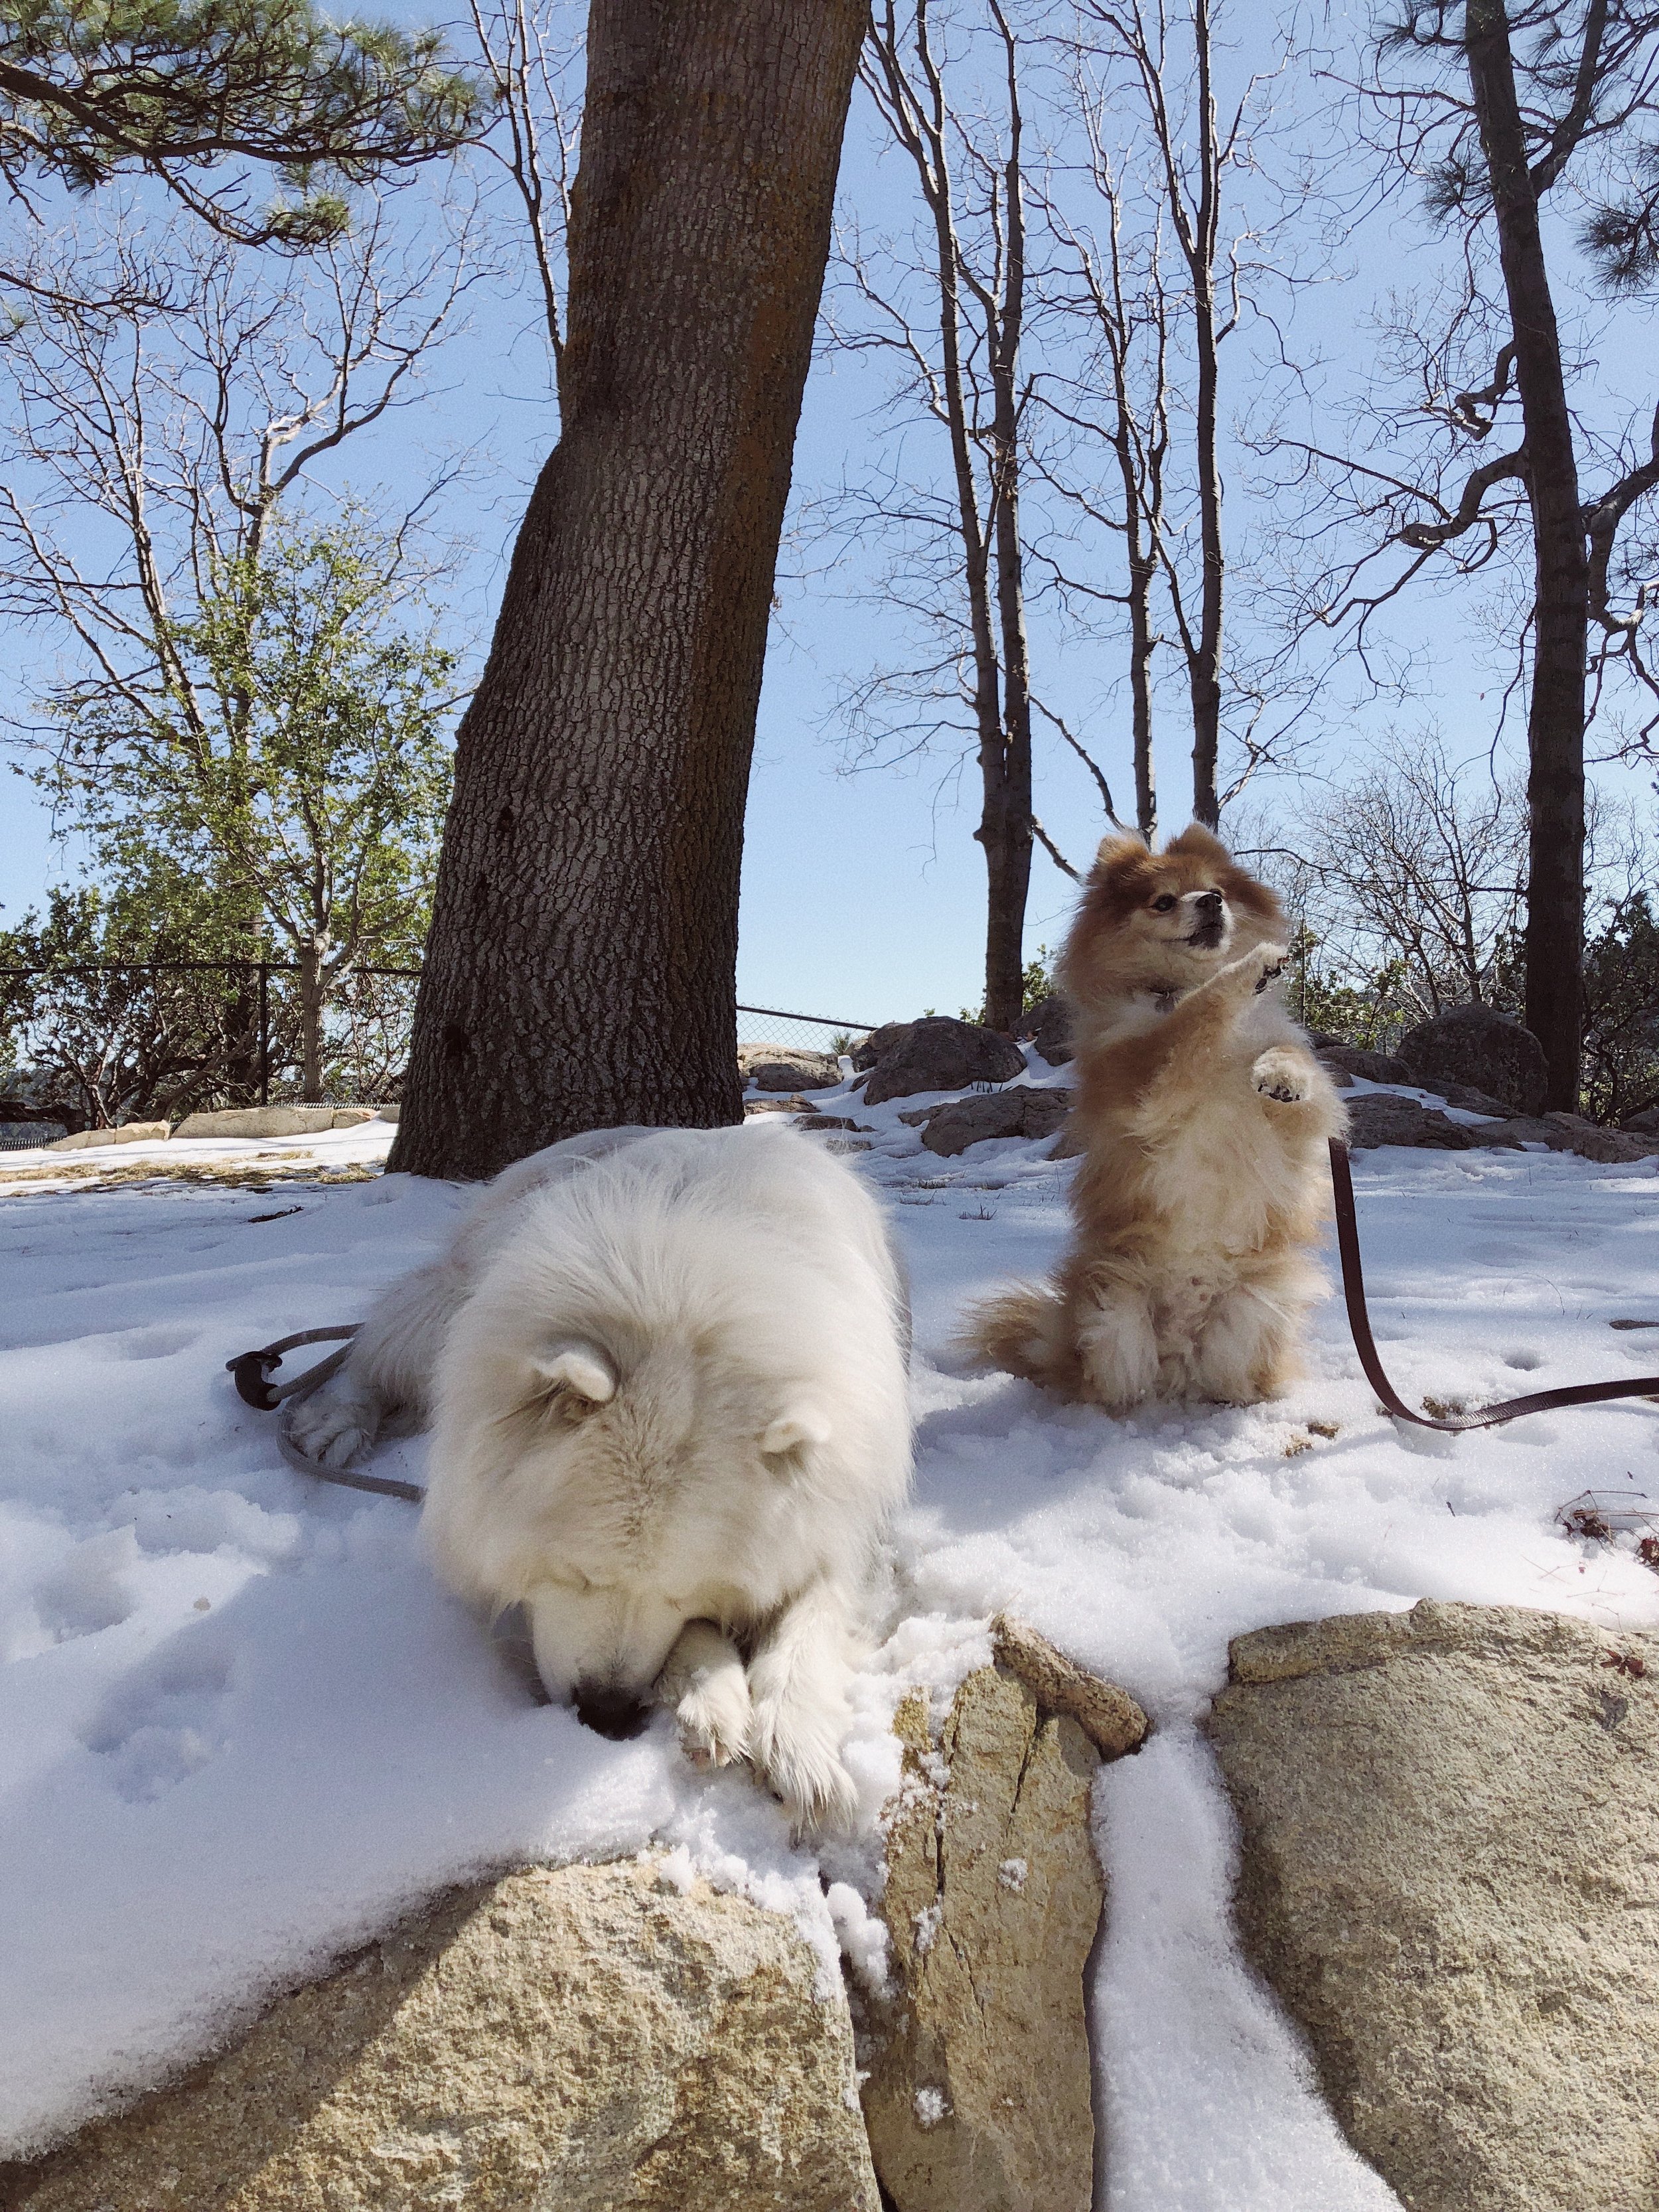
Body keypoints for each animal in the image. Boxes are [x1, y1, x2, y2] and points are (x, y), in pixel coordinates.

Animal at [285, 1124, 911, 1831]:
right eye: (578, 1574)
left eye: (681, 1591)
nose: (607, 1715)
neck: (681, 1286)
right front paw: (712, 1694)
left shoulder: (843, 1503)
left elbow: (814, 1605)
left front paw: (795, 1740)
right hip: (454, 1309)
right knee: (375, 1352)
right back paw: (333, 1421)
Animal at [973, 822, 1354, 1406]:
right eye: (1163, 901)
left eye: (1216, 888)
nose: (1212, 902)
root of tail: (1179, 1363)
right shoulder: (1140, 1082)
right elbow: (1191, 1018)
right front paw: (1250, 967)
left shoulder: (1297, 1120)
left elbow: (1297, 1065)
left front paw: (1282, 1075)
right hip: (1111, 1313)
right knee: (1104, 1383)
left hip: (1258, 1311)